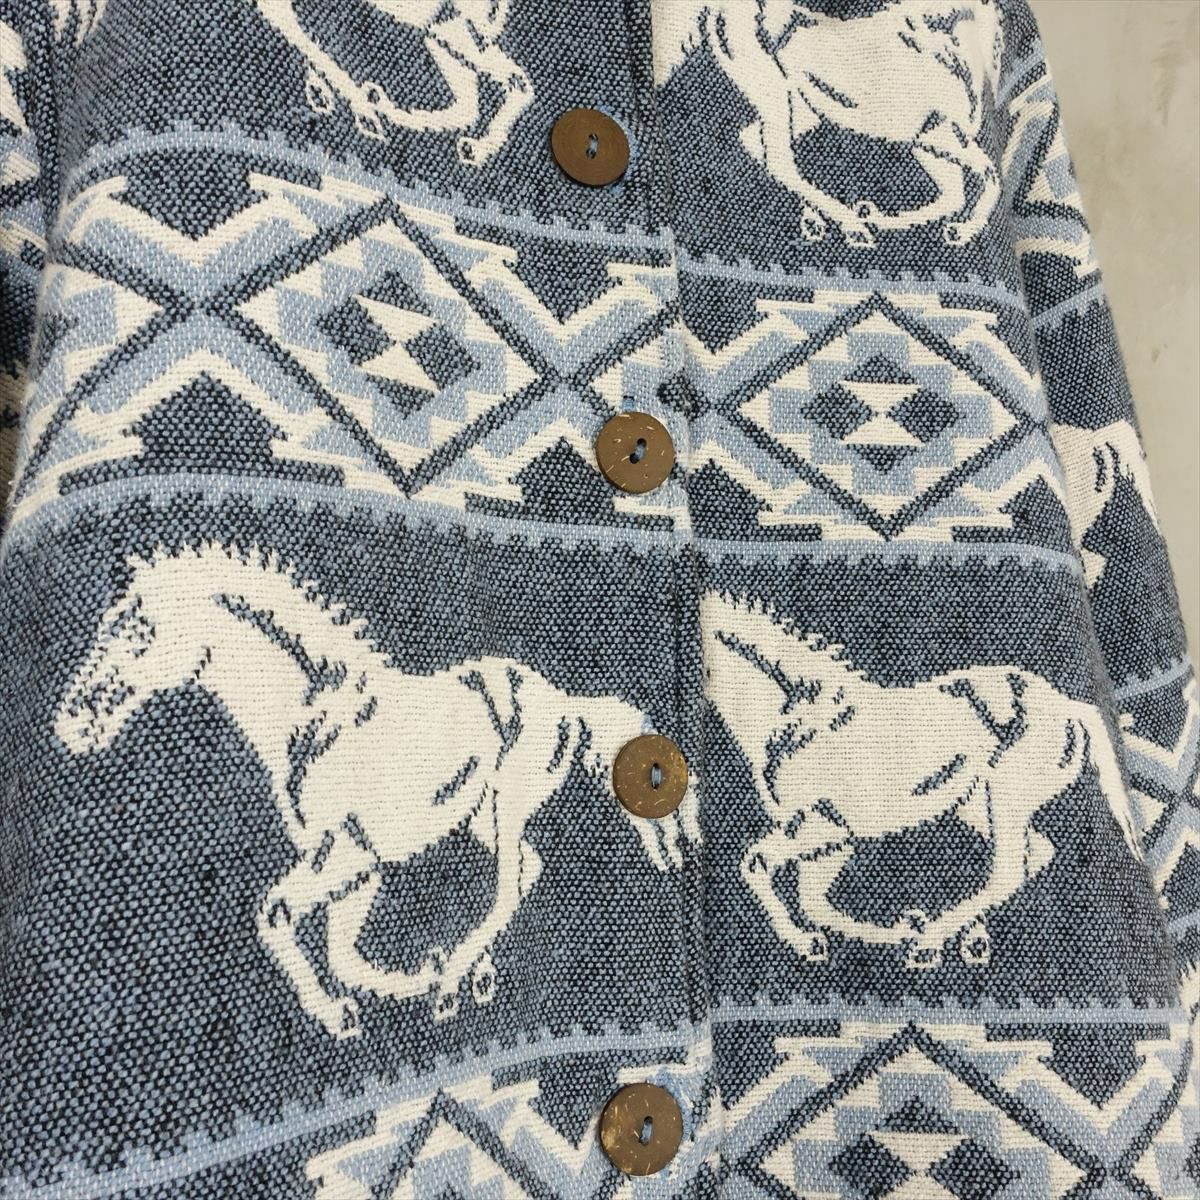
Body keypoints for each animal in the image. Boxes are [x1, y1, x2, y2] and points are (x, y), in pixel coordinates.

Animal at [54, 539, 693, 1037]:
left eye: (139, 633)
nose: (73, 721)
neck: (313, 714)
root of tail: (564, 703)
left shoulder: (344, 853)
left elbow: (279, 916)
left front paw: (343, 1010)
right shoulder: (358, 861)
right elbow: (342, 953)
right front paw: (414, 980)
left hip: (507, 805)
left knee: (512, 880)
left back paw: (456, 974)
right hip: (478, 817)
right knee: (525, 869)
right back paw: (471, 970)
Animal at [655, 0, 1004, 247]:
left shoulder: (929, 138)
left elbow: (958, 192)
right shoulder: (939, 135)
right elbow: (989, 177)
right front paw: (963, 230)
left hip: (803, 110)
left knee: (756, 142)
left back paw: (828, 218)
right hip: (774, 95)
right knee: (779, 161)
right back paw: (851, 225)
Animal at [701, 591, 1144, 970]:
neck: (797, 712)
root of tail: (1067, 706)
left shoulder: (820, 824)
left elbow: (758, 865)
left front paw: (808, 940)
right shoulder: (834, 833)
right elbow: (815, 900)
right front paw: (899, 928)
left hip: (1008, 797)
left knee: (1008, 870)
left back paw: (931, 942)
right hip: (975, 803)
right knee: (1035, 851)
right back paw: (966, 936)